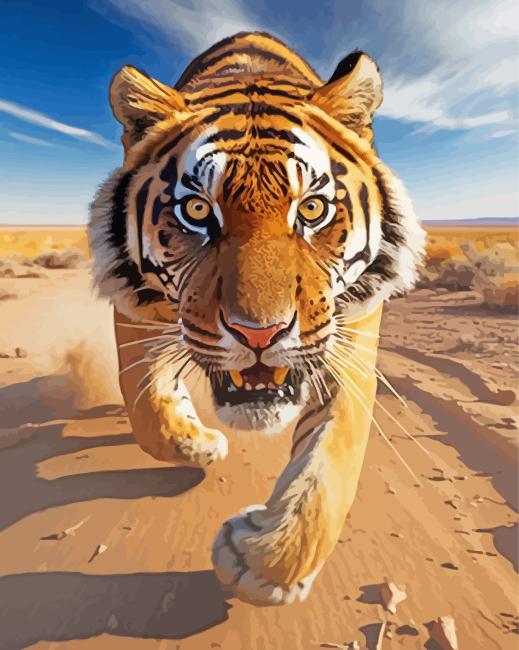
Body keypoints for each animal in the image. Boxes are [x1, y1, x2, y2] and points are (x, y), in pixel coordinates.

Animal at [88, 31, 425, 606]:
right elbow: (146, 411)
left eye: (311, 210)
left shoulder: (350, 335)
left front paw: (263, 563)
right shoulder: (135, 313)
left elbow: (332, 459)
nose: (259, 333)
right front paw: (198, 444)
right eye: (197, 212)